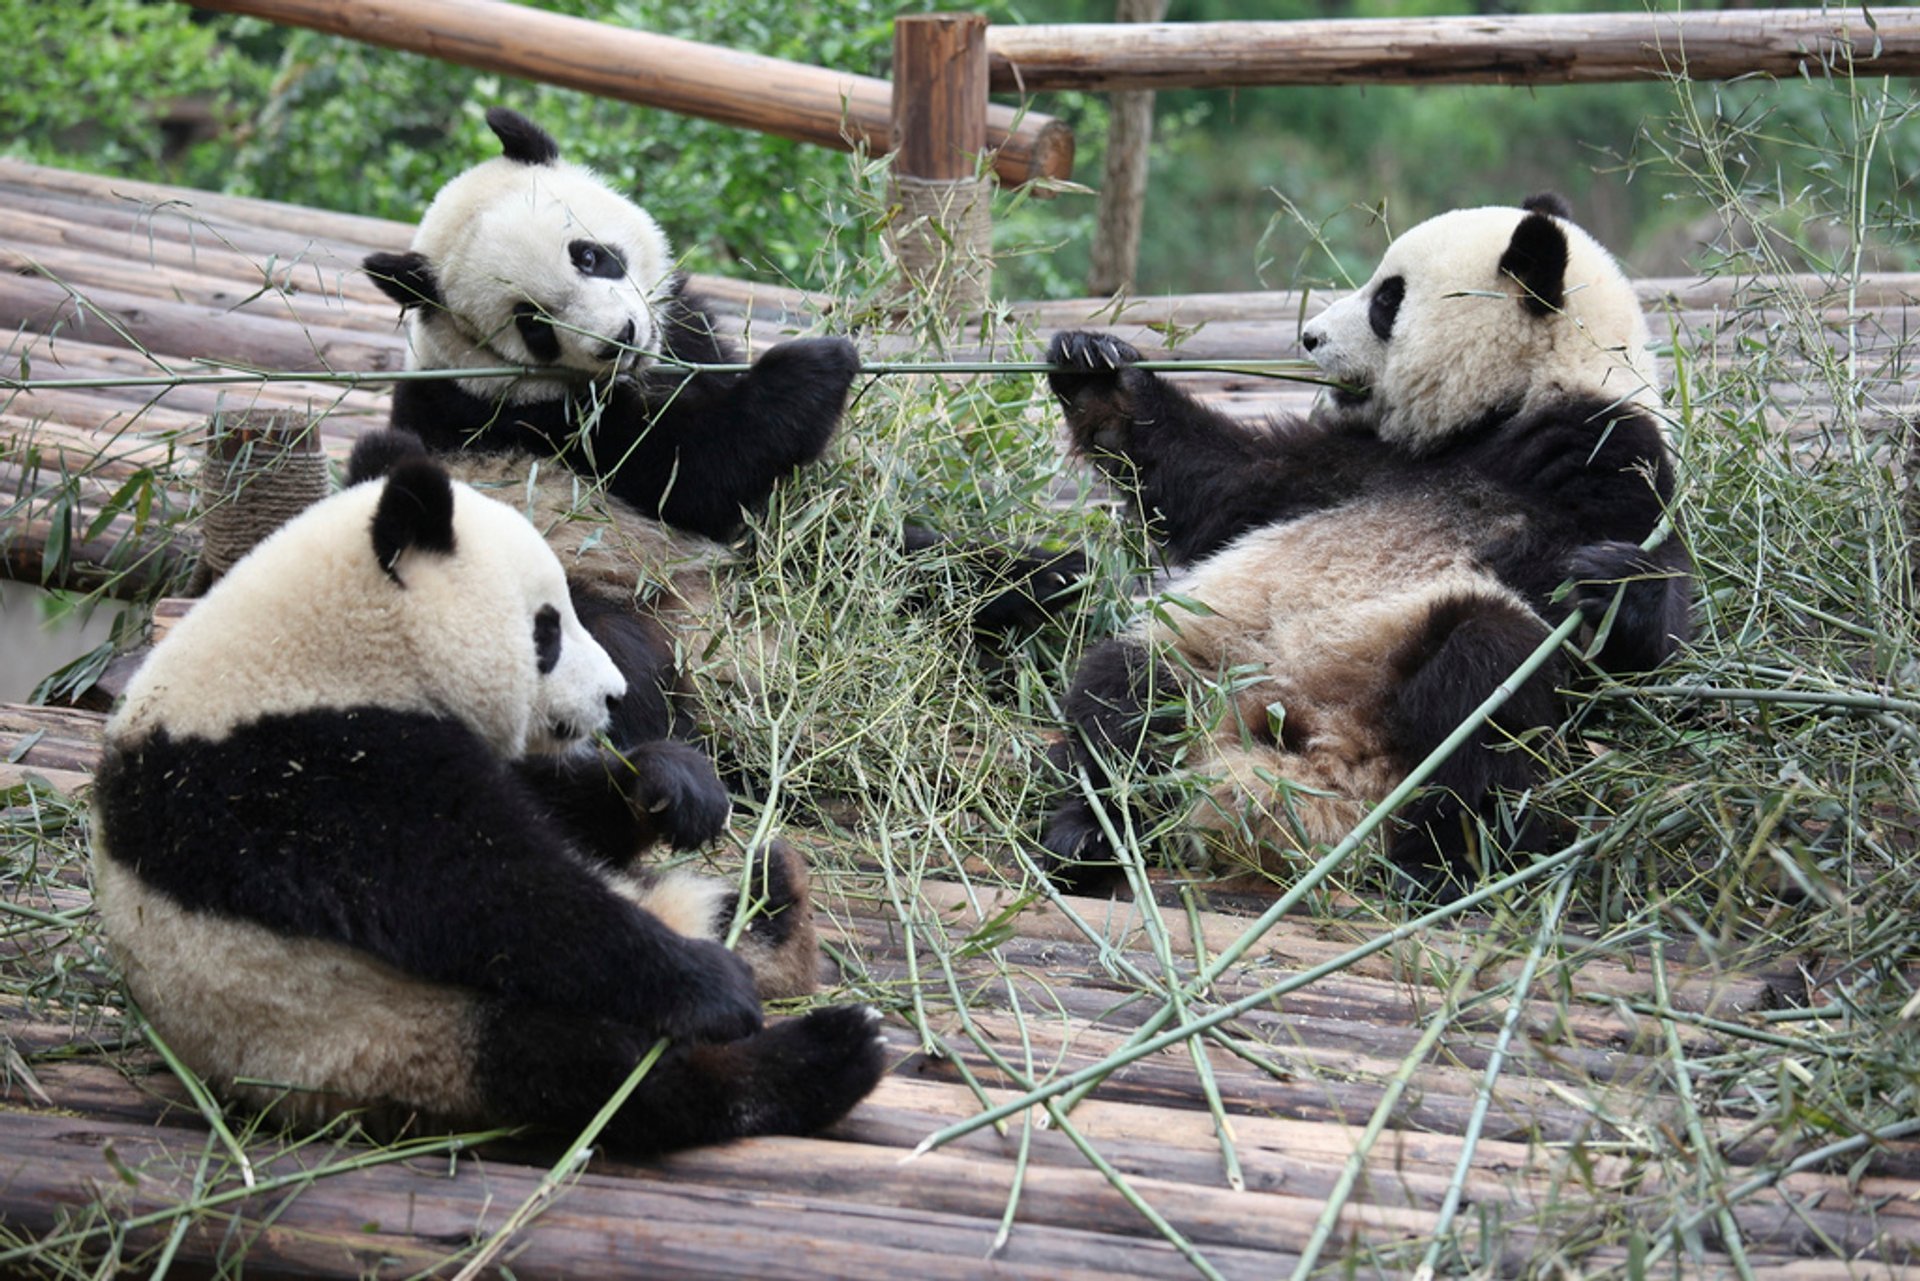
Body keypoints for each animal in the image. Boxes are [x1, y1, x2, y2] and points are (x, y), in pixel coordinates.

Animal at [93, 445, 887, 1160]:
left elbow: (551, 810)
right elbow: (485, 894)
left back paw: (777, 907)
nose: (613, 697)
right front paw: (710, 985)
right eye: (548, 628)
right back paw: (822, 1049)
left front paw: (673, 786)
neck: (320, 649)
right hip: (386, 1035)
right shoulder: (304, 775)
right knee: (592, 1070)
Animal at [1044, 195, 1689, 898]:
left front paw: (1613, 582)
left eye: (1387, 299)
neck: (1506, 410)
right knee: (1124, 697)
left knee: (1485, 683)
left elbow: (1655, 663)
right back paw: (1087, 832)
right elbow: (1222, 483)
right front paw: (1095, 370)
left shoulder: (1608, 456)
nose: (1309, 337)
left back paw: (1439, 866)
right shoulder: (1350, 463)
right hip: (1210, 658)